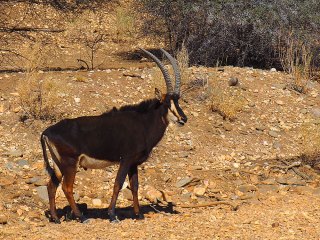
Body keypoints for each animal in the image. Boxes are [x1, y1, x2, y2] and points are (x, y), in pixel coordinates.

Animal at [41, 47, 189, 224]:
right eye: (167, 103)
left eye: (178, 101)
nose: (183, 119)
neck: (142, 123)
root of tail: (46, 132)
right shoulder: (125, 160)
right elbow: (118, 184)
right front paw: (112, 215)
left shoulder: (134, 163)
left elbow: (135, 186)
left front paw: (138, 214)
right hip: (70, 163)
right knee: (66, 187)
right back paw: (81, 217)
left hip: (58, 165)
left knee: (51, 185)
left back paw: (55, 217)